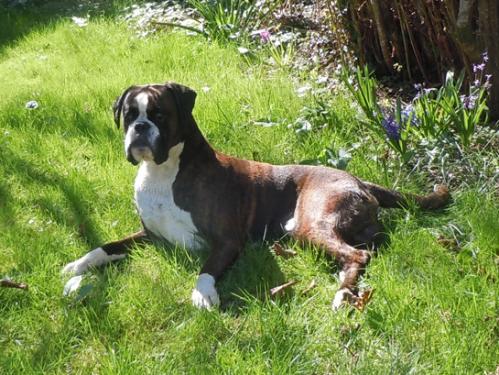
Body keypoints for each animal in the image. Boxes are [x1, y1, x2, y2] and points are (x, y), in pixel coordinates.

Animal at [61, 83, 450, 312]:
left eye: (159, 114)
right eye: (129, 115)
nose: (140, 128)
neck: (164, 172)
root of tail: (356, 178)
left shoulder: (227, 241)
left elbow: (207, 269)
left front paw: (202, 294)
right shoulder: (149, 235)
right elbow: (108, 246)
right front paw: (78, 265)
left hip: (311, 225)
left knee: (358, 255)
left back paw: (342, 294)